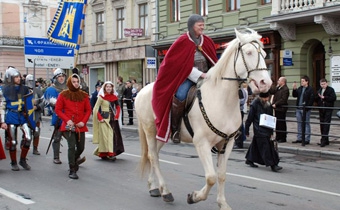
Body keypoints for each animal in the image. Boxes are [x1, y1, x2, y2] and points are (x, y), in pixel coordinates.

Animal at [134, 29, 272, 210]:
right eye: (248, 53)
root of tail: (141, 91)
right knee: (153, 157)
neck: (221, 100)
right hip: (150, 130)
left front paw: (222, 203)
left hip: (162, 133)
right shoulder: (202, 143)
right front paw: (194, 197)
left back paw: (154, 187)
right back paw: (166, 191)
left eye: (264, 54)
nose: (265, 83)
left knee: (153, 154)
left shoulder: (226, 143)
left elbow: (221, 175)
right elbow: (211, 177)